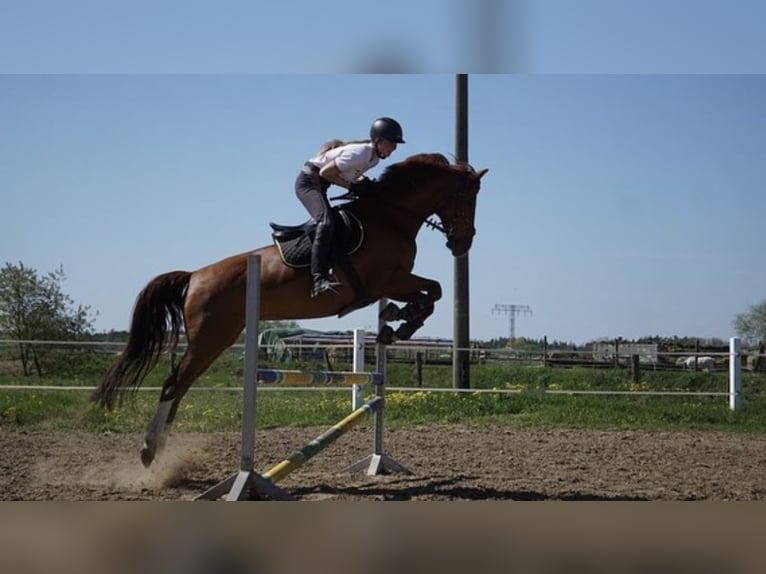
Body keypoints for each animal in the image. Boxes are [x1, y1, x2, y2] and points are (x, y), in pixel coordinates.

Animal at [93, 153, 488, 468]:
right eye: (466, 197)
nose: (463, 243)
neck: (390, 217)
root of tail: (194, 276)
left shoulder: (393, 281)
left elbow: (432, 292)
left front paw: (394, 322)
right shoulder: (386, 279)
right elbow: (434, 290)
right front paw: (401, 323)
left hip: (216, 339)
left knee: (181, 385)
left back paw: (159, 452)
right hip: (210, 338)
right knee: (173, 384)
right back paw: (148, 450)